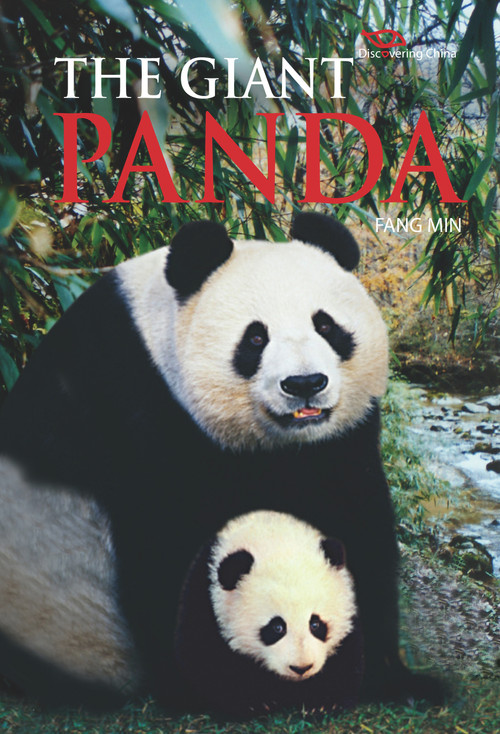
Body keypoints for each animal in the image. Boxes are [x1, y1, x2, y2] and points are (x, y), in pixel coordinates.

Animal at [175, 510, 364, 718]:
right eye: (277, 627)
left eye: (315, 624)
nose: (301, 668)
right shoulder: (203, 598)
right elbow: (206, 658)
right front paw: (252, 702)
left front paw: (323, 702)